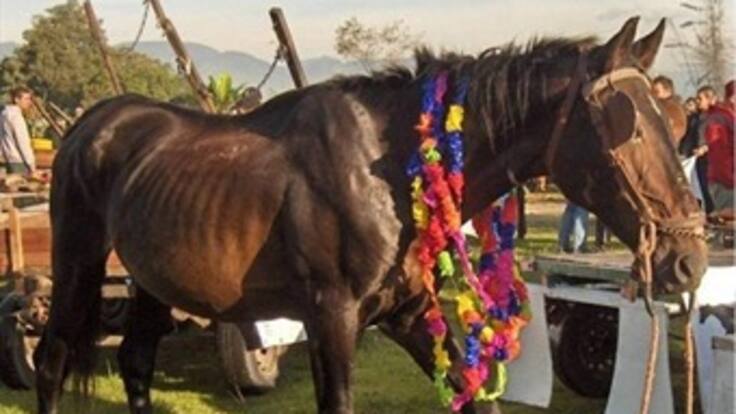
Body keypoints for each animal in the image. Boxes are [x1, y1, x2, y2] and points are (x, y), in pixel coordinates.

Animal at [34, 17, 707, 414]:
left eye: (672, 123)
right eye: (626, 127)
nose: (688, 260)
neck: (388, 172)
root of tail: (91, 124)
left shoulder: (410, 313)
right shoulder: (332, 318)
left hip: (153, 279)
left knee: (135, 362)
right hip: (77, 265)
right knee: (50, 360)